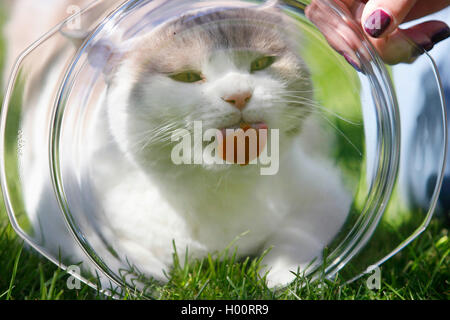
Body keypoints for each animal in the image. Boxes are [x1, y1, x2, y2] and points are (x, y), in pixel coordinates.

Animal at [5, 0, 354, 290]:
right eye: (187, 77)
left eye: (261, 63)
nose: (239, 95)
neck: (215, 188)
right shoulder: (53, 214)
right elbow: (101, 253)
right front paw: (144, 274)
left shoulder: (327, 195)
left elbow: (297, 236)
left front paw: (285, 276)